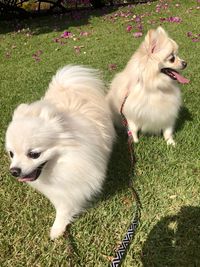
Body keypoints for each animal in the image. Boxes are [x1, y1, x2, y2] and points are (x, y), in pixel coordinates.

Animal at [5, 65, 115, 241]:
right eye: (11, 154)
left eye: (34, 154)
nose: (14, 171)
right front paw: (59, 226)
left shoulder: (77, 183)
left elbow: (66, 207)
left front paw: (58, 227)